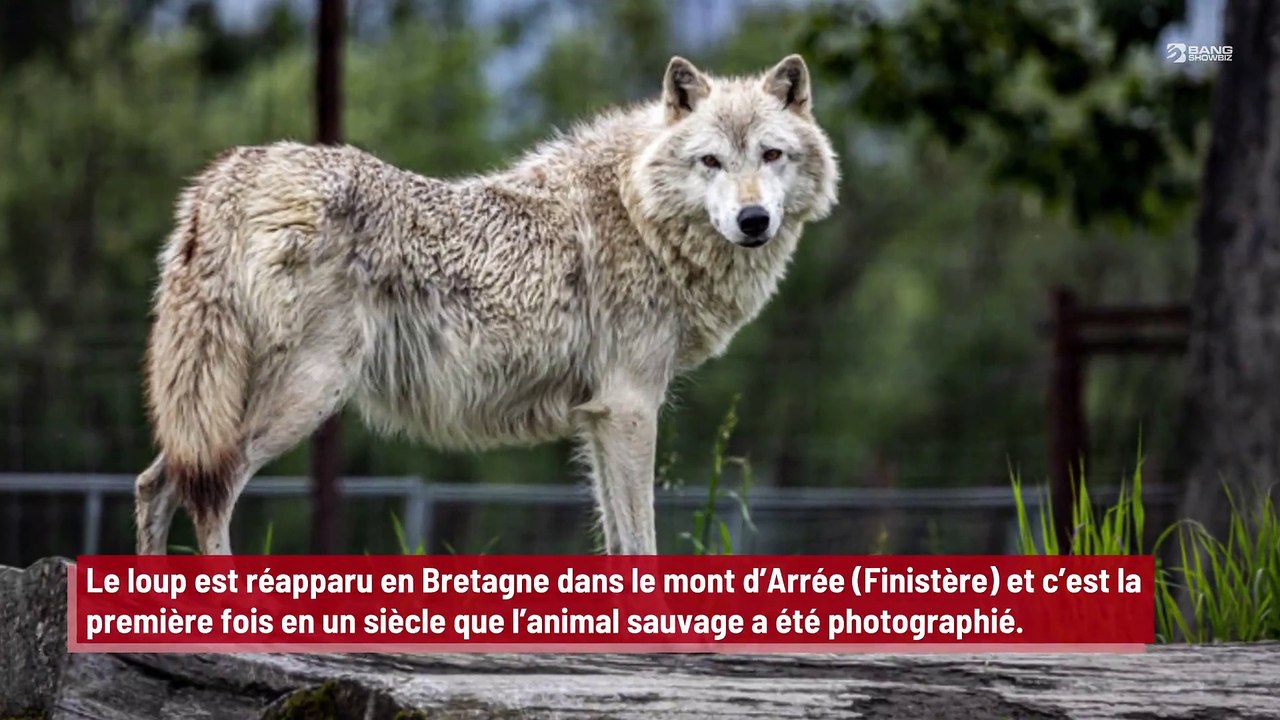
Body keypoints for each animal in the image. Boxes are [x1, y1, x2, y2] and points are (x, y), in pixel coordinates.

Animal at [136, 54, 840, 556]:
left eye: (771, 154)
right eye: (711, 161)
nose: (754, 220)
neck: (640, 214)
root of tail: (230, 177)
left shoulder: (600, 416)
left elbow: (617, 540)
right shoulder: (631, 406)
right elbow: (641, 541)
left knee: (154, 484)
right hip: (304, 395)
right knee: (210, 487)